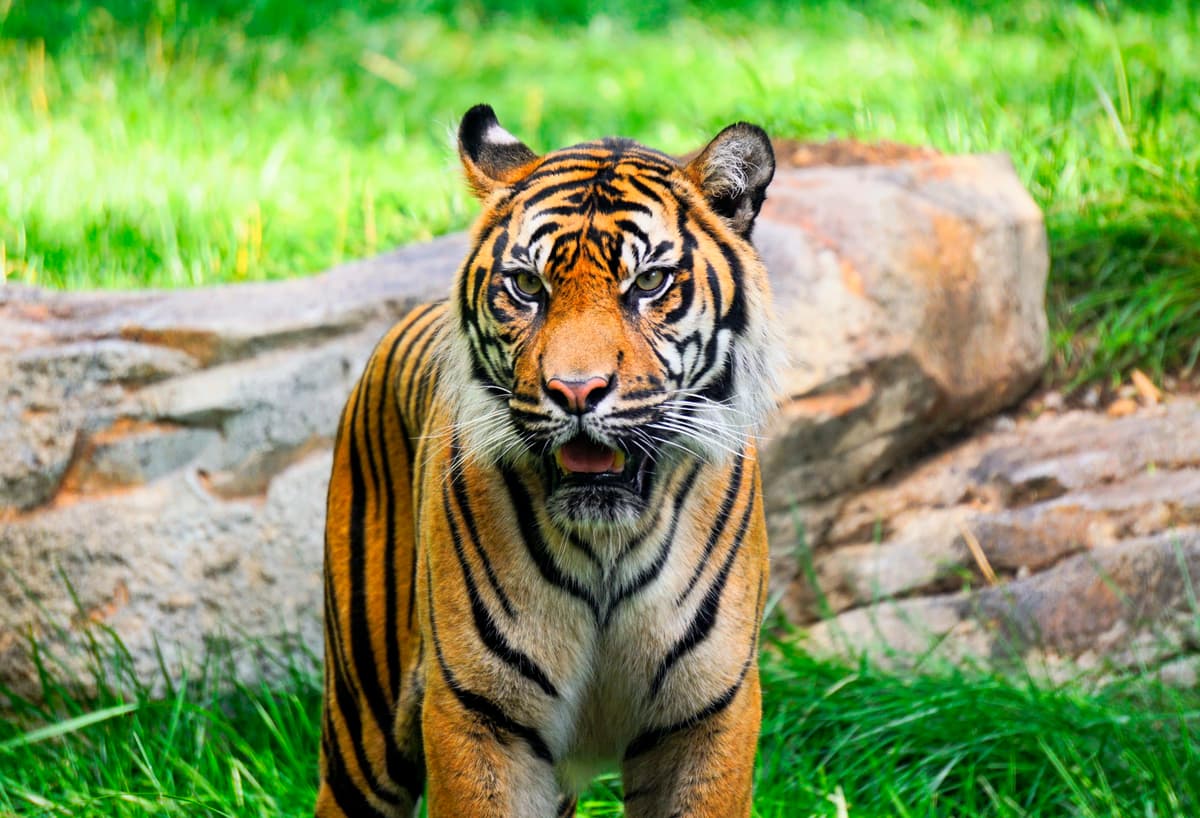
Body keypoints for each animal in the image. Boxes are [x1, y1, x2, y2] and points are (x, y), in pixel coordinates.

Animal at [315, 104, 781, 818]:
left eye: (649, 282)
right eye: (527, 286)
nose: (577, 391)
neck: (608, 546)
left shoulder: (707, 715)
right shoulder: (479, 715)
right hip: (364, 722)